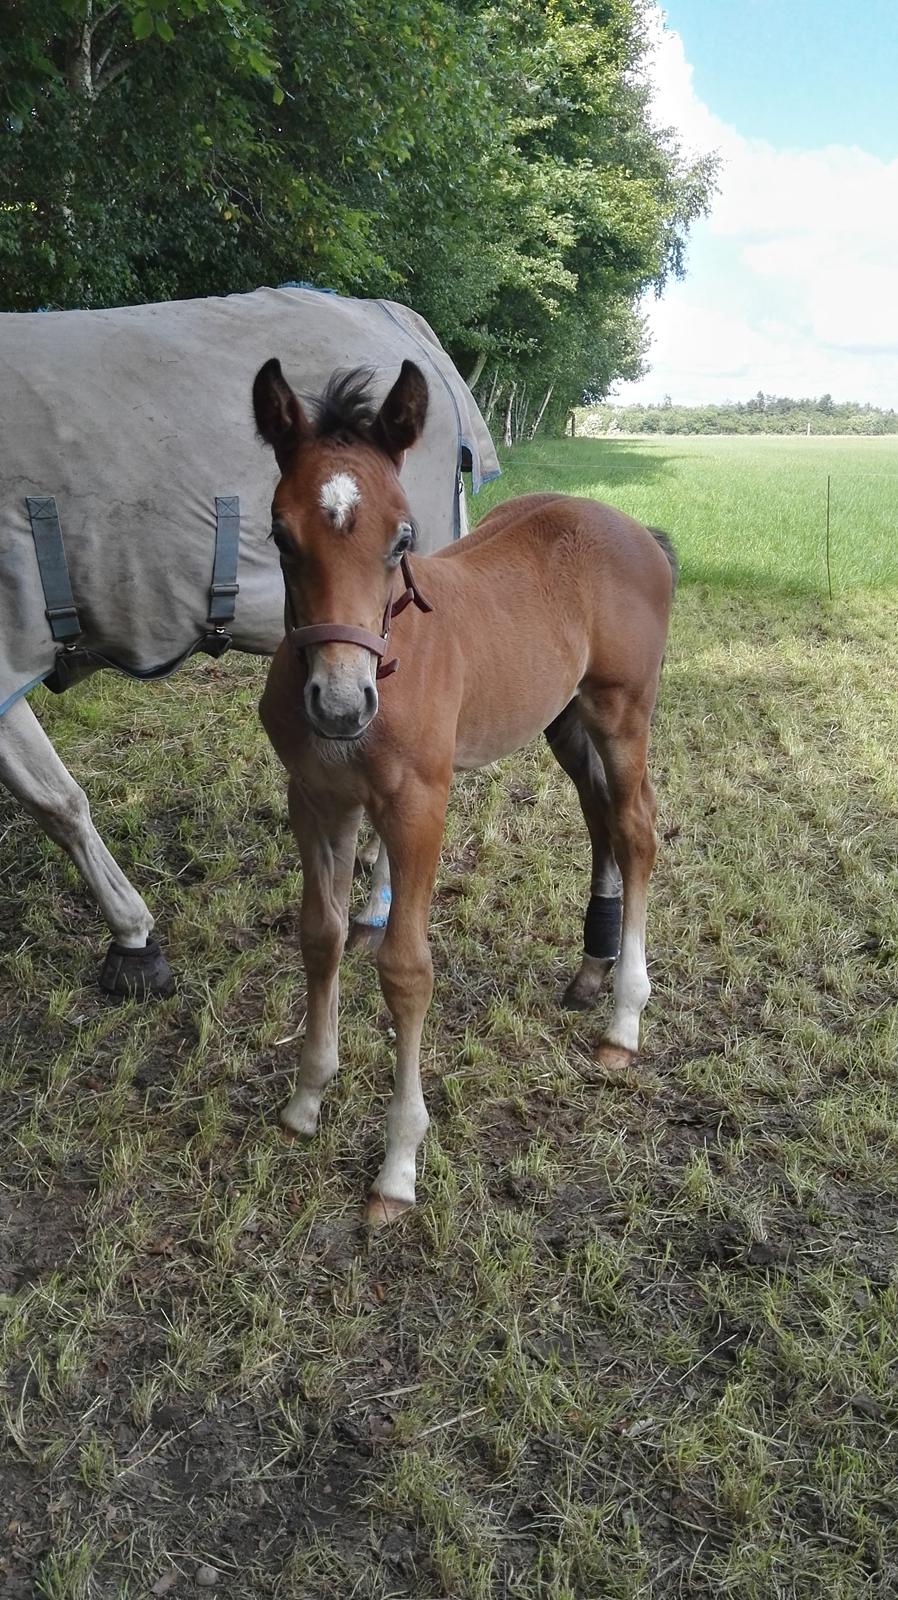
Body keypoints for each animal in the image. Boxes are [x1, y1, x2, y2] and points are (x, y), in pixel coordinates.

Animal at [252, 353, 672, 1222]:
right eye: (279, 533)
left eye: (403, 537)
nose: (339, 705)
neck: (389, 656)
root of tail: (638, 532)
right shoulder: (316, 799)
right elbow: (321, 935)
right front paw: (306, 1099)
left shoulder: (418, 806)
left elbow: (406, 971)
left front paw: (397, 1164)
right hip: (563, 720)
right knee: (601, 820)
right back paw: (591, 970)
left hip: (623, 710)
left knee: (637, 827)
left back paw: (623, 1019)